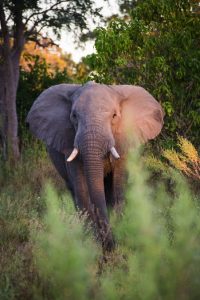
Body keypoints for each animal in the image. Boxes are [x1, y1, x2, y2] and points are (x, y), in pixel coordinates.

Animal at [26, 81, 164, 251]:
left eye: (114, 116)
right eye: (74, 116)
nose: (109, 244)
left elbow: (118, 187)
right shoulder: (69, 141)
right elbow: (81, 188)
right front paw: (92, 245)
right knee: (73, 189)